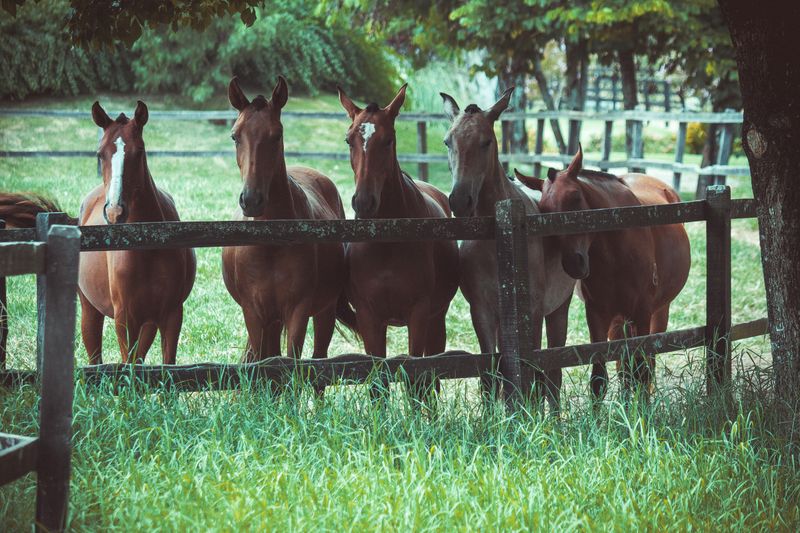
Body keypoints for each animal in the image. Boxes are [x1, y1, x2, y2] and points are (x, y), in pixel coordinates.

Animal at [80, 100, 197, 364]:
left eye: (140, 151)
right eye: (100, 154)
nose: (115, 211)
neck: (148, 244)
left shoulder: (171, 315)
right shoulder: (125, 319)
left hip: (148, 323)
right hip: (90, 311)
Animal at [222, 77, 355, 364]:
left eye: (277, 135)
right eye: (235, 136)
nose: (251, 199)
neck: (271, 242)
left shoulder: (298, 311)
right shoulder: (254, 313)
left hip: (324, 311)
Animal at [338, 84, 459, 396]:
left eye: (388, 140)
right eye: (348, 140)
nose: (364, 202)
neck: (387, 242)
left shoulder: (419, 314)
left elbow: (417, 379)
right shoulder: (369, 317)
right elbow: (377, 383)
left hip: (436, 319)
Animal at [441, 89, 575, 410]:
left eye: (486, 141)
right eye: (448, 141)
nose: (460, 201)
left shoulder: (533, 311)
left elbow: (534, 373)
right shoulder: (482, 311)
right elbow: (491, 374)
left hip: (558, 309)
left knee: (553, 373)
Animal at [515, 147, 691, 398]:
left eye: (575, 197)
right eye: (544, 211)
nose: (573, 263)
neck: (617, 250)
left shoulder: (642, 312)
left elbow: (641, 371)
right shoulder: (598, 315)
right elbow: (599, 379)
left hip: (658, 312)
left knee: (646, 365)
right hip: (619, 321)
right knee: (624, 367)